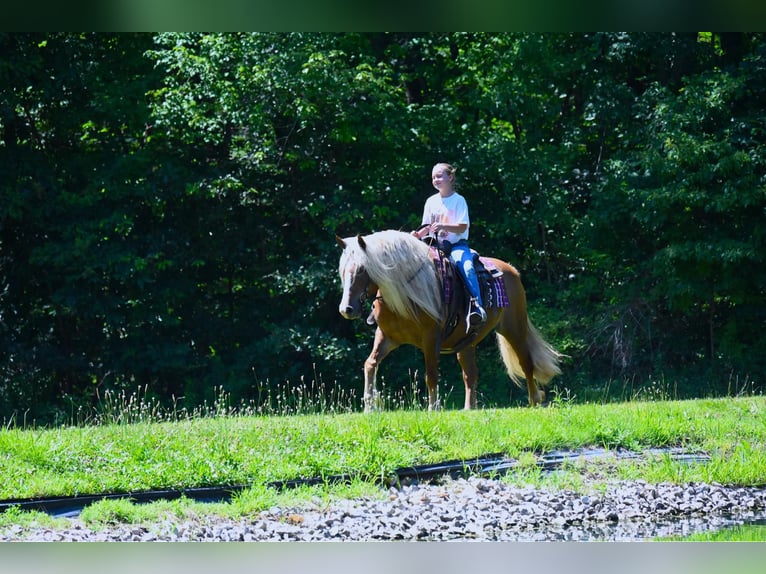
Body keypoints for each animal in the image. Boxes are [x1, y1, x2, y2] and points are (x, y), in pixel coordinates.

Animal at [336, 231, 564, 414]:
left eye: (362, 270)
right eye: (343, 271)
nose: (346, 309)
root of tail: (511, 270)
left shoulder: (431, 338)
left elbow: (430, 374)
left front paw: (433, 407)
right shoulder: (386, 336)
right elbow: (370, 364)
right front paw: (369, 407)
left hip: (514, 328)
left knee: (526, 362)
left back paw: (535, 400)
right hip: (467, 342)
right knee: (470, 374)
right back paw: (469, 408)